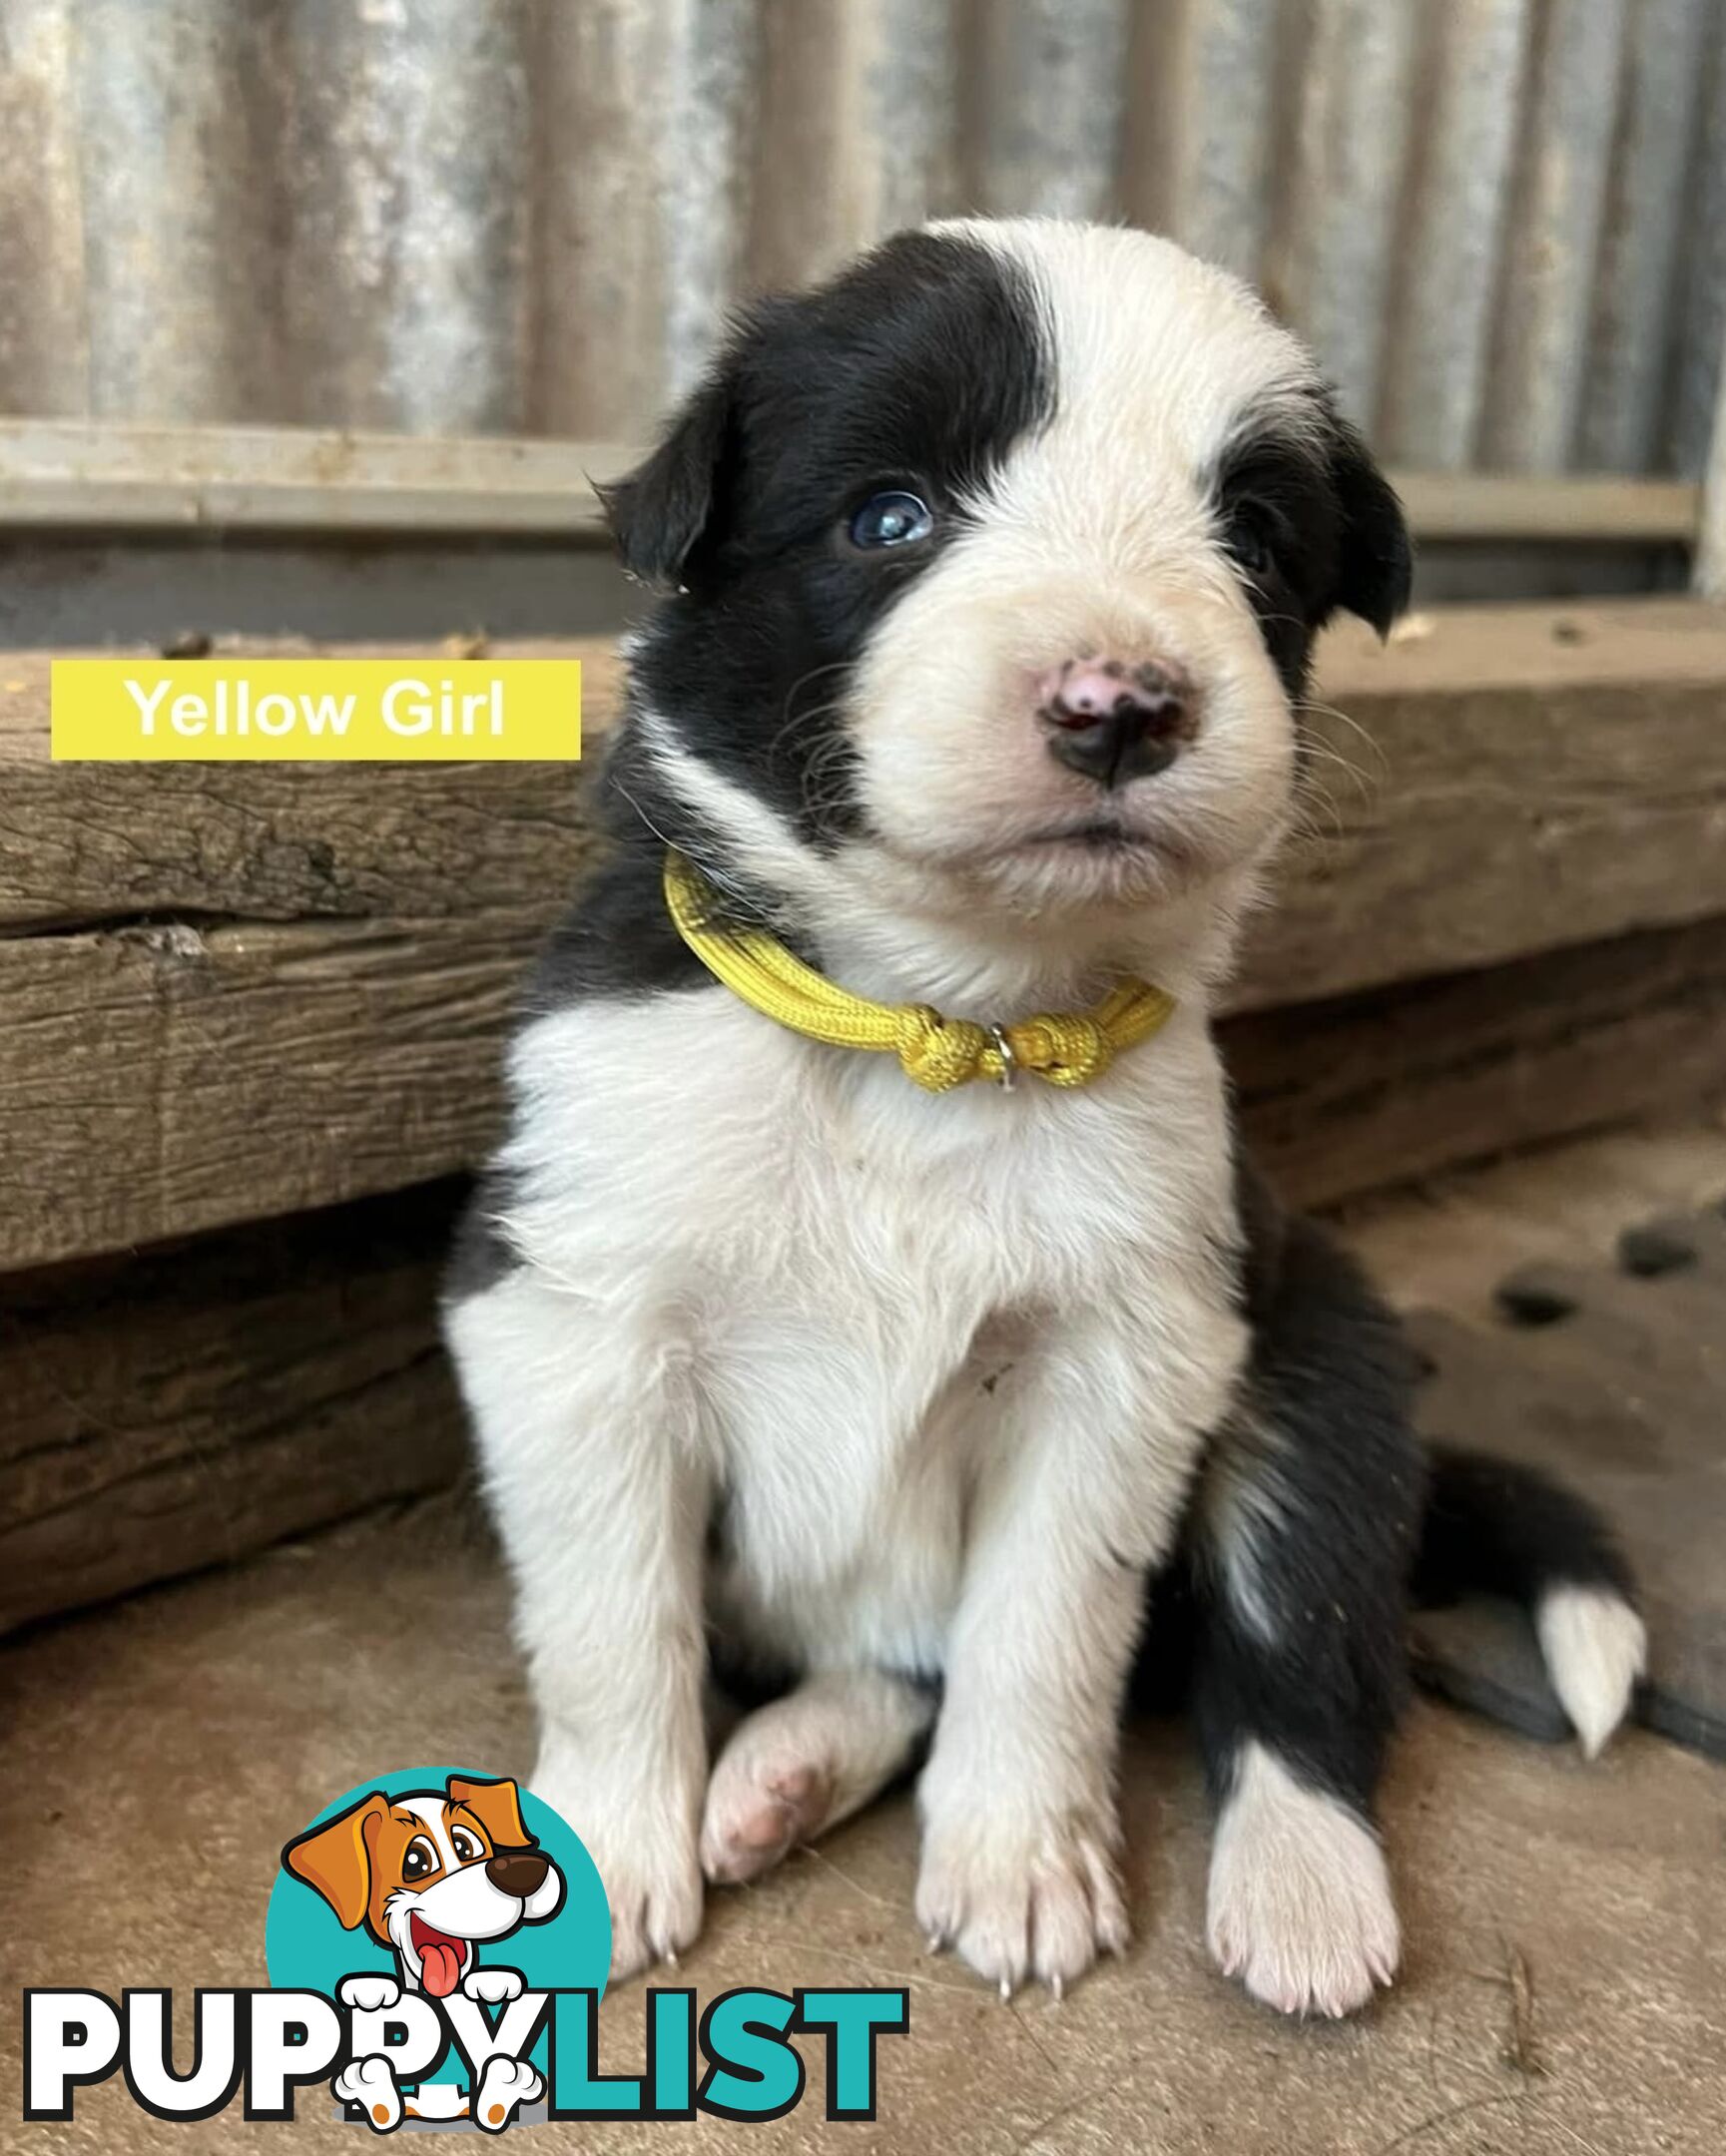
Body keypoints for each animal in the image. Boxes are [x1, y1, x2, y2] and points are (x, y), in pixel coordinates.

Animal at [442, 210, 1648, 2009]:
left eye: (1254, 544)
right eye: (889, 516)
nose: (1117, 703)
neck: (937, 1026)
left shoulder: (1129, 1352)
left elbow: (1040, 1631)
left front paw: (1019, 1862)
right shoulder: (571, 1313)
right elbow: (613, 1623)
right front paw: (597, 1855)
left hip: (1318, 1379)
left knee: (1295, 1661)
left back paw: (1302, 1895)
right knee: (889, 1663)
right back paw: (779, 1773)